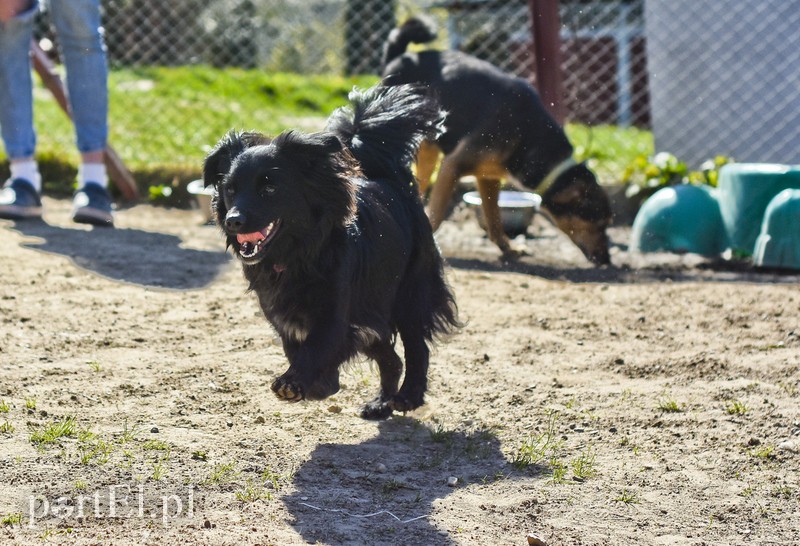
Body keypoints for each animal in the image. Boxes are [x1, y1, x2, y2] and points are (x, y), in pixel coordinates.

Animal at [203, 84, 460, 416]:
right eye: (230, 189)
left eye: (269, 187)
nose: (233, 220)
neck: (295, 256)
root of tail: (393, 183)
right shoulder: (283, 318)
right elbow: (297, 348)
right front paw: (321, 385)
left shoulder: (335, 312)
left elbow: (317, 347)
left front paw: (297, 382)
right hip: (371, 311)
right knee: (391, 358)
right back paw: (381, 404)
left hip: (410, 295)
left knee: (417, 348)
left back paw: (407, 397)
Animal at [382, 17, 612, 264]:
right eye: (598, 224)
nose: (607, 260)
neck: (527, 132)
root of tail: (399, 57)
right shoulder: (452, 166)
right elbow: (438, 214)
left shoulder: (488, 177)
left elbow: (494, 220)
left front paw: (507, 249)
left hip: (427, 152)